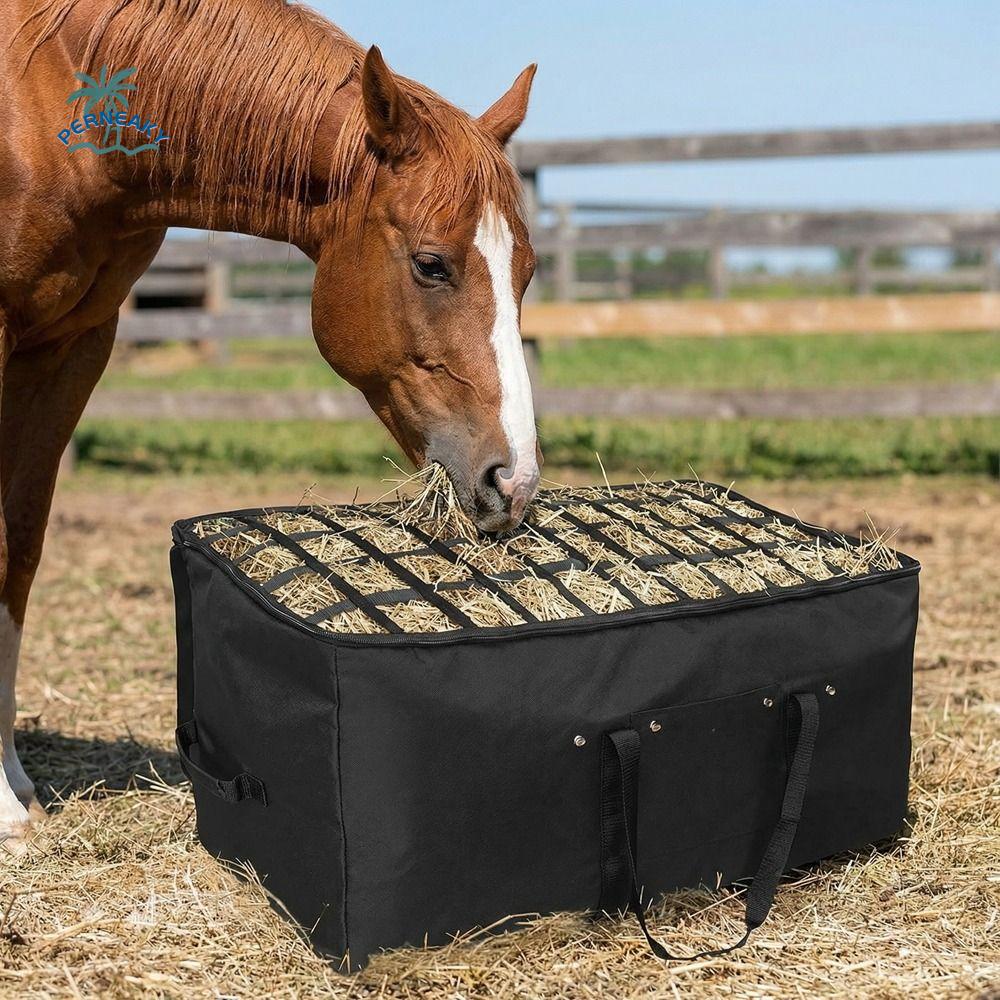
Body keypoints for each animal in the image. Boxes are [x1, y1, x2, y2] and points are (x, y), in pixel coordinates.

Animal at [0, 0, 540, 850]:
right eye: (430, 264)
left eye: (527, 271)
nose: (513, 479)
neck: (46, 92)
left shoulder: (71, 345)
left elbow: (18, 547)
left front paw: (15, 786)